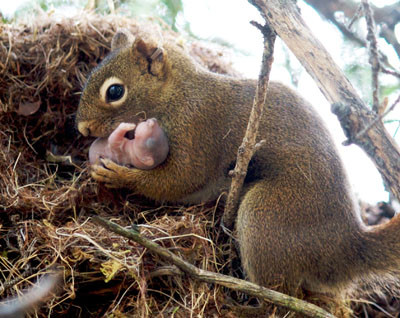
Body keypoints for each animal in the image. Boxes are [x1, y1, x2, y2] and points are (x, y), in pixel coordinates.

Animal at [76, 29, 400, 316]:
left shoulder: (197, 128)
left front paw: (117, 174)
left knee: (280, 299)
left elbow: (179, 180)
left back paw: (241, 306)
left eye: (115, 91)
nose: (82, 129)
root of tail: (347, 246)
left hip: (267, 215)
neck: (178, 94)